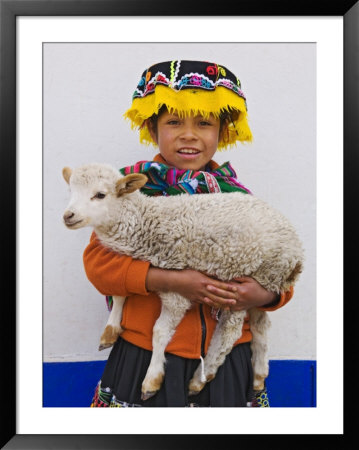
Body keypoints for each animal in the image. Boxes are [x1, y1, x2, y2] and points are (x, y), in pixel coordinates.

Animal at [62, 163, 304, 400]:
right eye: (71, 191)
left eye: (100, 195)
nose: (68, 215)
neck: (146, 224)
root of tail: (297, 252)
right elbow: (120, 291)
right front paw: (110, 331)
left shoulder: (176, 290)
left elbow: (159, 332)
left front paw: (151, 380)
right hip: (265, 280)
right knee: (260, 325)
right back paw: (259, 375)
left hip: (244, 282)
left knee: (230, 332)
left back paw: (200, 379)